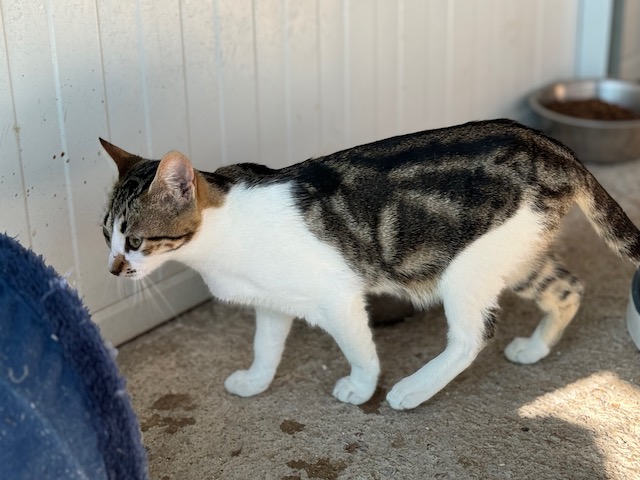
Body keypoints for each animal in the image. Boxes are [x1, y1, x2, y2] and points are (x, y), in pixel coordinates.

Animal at [100, 119, 640, 410]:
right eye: (106, 234)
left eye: (135, 240)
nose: (111, 269)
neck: (223, 232)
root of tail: (553, 148)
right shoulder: (272, 301)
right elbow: (266, 344)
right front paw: (256, 380)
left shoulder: (336, 295)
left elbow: (358, 348)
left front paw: (361, 388)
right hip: (515, 254)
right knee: (568, 287)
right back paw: (535, 348)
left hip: (466, 269)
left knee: (471, 338)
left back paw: (412, 390)